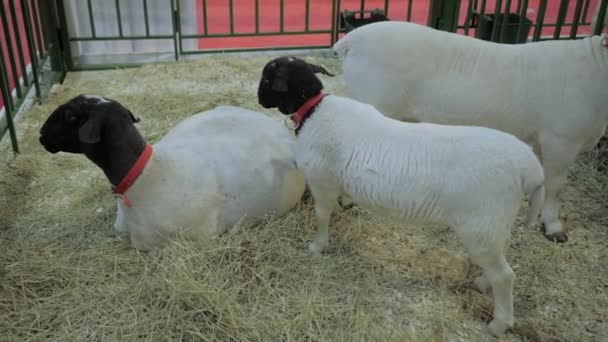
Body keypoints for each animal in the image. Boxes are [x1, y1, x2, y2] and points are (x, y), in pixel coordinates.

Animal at [256, 56, 548, 336]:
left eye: (268, 78)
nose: (259, 99)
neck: (314, 111)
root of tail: (531, 167)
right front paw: (346, 205)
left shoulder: (322, 180)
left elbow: (322, 215)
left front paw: (317, 247)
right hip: (494, 223)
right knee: (500, 259)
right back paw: (482, 283)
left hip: (480, 224)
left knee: (505, 276)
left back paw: (499, 324)